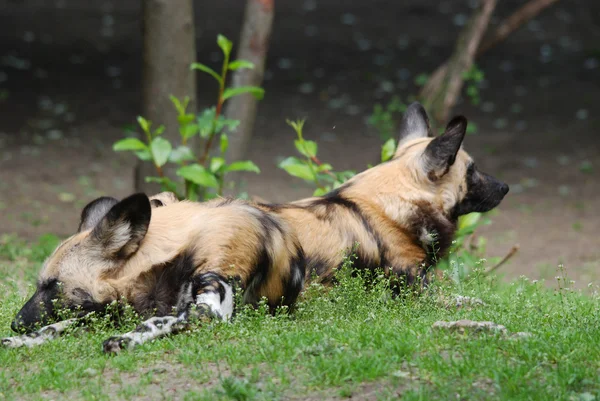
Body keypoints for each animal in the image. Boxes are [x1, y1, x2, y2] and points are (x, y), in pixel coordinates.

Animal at [4, 192, 304, 352]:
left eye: (53, 284)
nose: (15, 323)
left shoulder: (210, 311)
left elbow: (155, 321)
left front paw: (124, 340)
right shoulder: (114, 308)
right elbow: (60, 324)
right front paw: (22, 340)